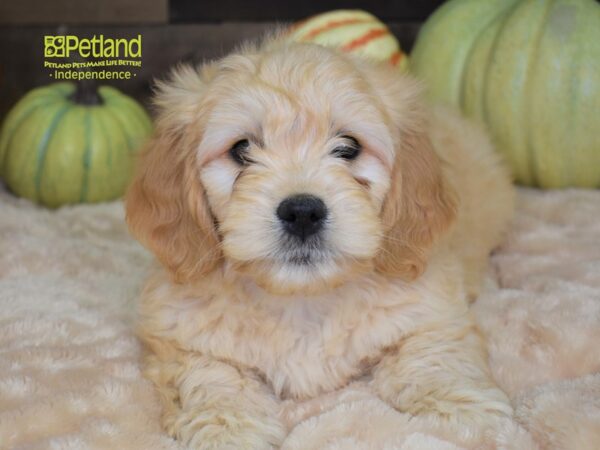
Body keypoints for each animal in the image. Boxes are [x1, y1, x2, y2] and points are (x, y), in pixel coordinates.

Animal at [125, 33, 516, 448]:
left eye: (348, 147)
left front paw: (466, 413)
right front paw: (227, 427)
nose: (302, 212)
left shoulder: (432, 312)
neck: (304, 299)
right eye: (242, 150)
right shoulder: (179, 337)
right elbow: (211, 376)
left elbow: (433, 357)